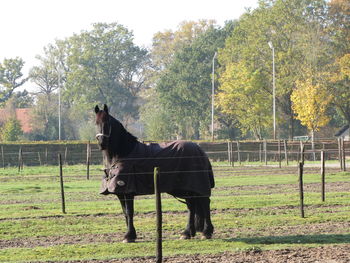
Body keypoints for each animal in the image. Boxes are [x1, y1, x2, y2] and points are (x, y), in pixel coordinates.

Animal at [95, 104, 213, 243]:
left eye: (107, 122)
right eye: (96, 123)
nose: (102, 143)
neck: (123, 153)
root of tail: (200, 150)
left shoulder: (127, 191)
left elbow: (129, 212)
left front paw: (129, 236)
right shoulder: (120, 192)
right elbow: (125, 213)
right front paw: (130, 235)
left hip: (195, 186)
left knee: (205, 203)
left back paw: (206, 232)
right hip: (185, 188)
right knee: (192, 206)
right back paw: (187, 233)